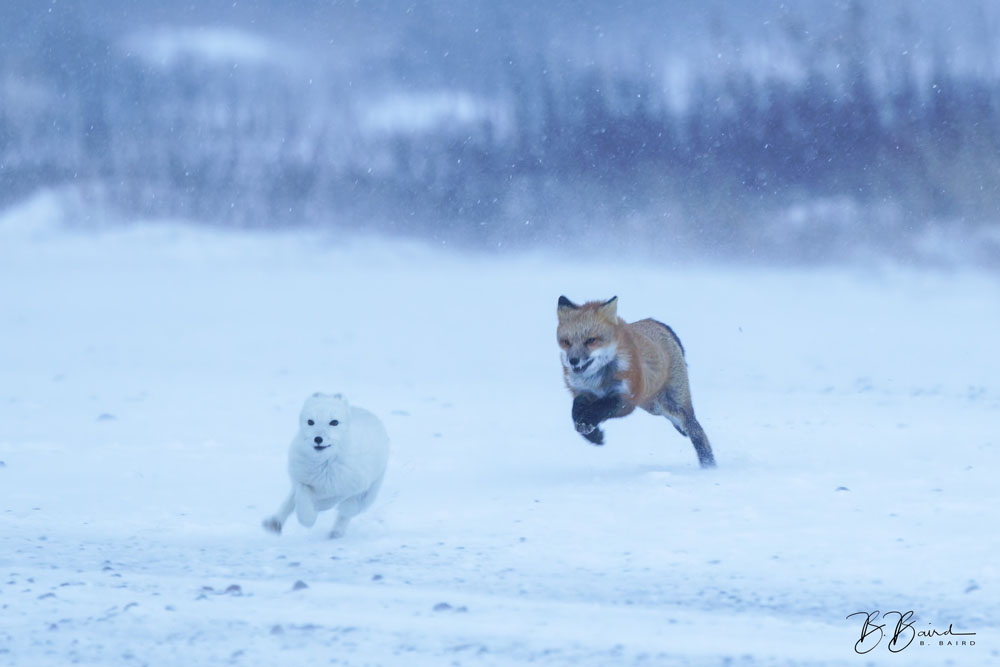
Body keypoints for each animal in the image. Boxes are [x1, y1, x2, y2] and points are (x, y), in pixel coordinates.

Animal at [260, 394, 388, 540]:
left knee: (345, 512)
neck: (325, 463)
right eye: (310, 422)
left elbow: (331, 499)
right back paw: (274, 523)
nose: (318, 439)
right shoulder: (301, 479)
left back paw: (336, 533)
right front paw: (307, 517)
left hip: (366, 495)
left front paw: (316, 509)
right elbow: (302, 497)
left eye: (334, 422)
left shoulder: (352, 487)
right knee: (290, 503)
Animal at [560, 294, 716, 468]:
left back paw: (709, 466)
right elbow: (576, 410)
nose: (573, 360)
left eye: (591, 340)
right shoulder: (583, 393)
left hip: (672, 405)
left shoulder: (626, 399)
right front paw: (593, 434)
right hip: (654, 406)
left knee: (695, 430)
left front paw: (588, 422)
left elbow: (601, 406)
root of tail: (657, 323)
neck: (598, 381)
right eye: (566, 342)